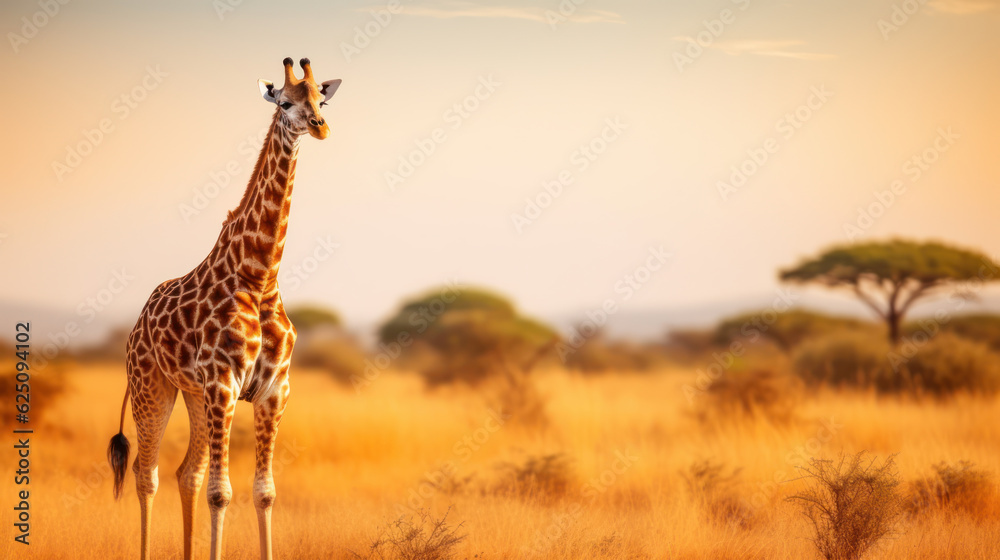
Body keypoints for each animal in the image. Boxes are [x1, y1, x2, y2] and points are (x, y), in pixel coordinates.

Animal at [105, 58, 340, 560]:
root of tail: (136, 327)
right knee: (146, 474)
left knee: (185, 474)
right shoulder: (224, 382)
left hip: (193, 394)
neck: (260, 275)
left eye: (322, 100)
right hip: (152, 387)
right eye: (284, 102)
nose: (319, 126)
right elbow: (221, 492)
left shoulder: (273, 390)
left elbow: (264, 492)